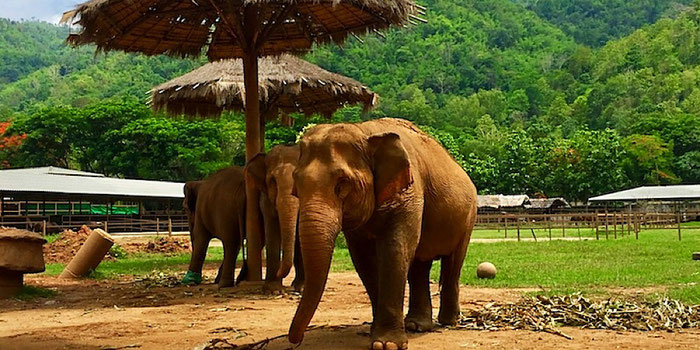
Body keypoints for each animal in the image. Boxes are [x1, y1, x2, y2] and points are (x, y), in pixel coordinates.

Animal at [247, 144, 304, 292]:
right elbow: (272, 231)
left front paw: (301, 289)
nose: (280, 272)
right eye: (273, 181)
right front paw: (273, 289)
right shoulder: (266, 200)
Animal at [288, 118, 478, 350]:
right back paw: (416, 325)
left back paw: (448, 322)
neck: (364, 130)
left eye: (342, 183)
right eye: (296, 183)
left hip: (468, 217)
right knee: (419, 265)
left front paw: (385, 344)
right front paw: (376, 334)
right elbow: (363, 259)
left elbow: (395, 249)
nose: (296, 341)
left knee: (453, 262)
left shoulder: (410, 193)